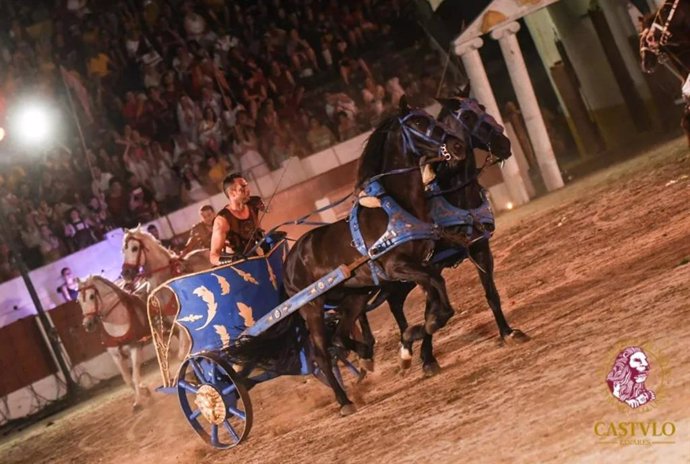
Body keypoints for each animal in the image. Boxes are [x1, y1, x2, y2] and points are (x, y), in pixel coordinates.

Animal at [79, 276, 152, 410]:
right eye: (78, 300)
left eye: (91, 296)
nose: (87, 324)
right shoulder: (116, 356)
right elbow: (127, 379)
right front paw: (145, 392)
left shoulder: (134, 348)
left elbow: (134, 377)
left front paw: (139, 401)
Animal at [224, 97, 462, 414]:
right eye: (418, 123)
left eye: (428, 116)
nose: (458, 145)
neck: (395, 207)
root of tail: (289, 261)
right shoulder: (396, 266)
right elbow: (435, 282)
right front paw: (421, 332)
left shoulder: (418, 264)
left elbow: (434, 288)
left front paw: (421, 335)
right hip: (312, 307)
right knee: (321, 354)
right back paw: (344, 400)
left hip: (353, 296)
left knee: (338, 338)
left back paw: (364, 356)